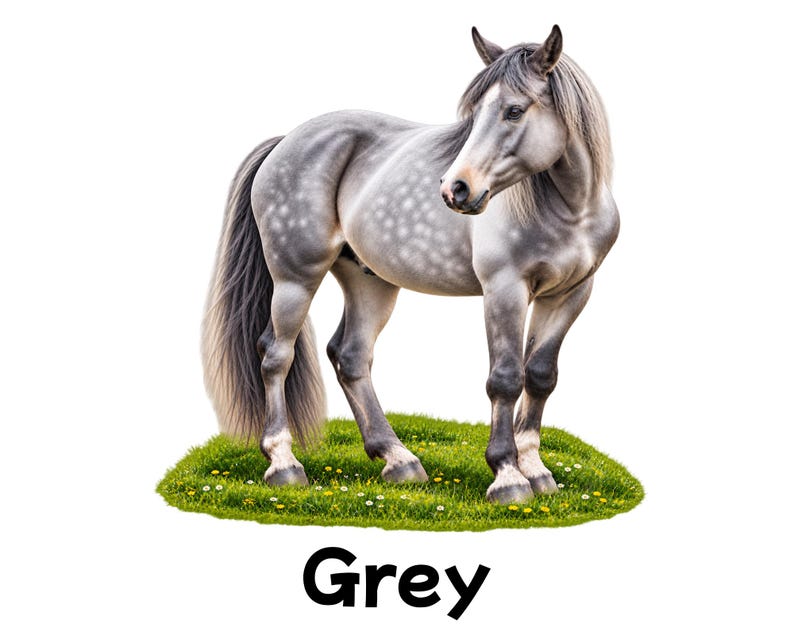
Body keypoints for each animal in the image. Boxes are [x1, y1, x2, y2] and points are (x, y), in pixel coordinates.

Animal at [201, 25, 619, 503]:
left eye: (514, 110)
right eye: (474, 112)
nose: (456, 188)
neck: (571, 210)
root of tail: (286, 140)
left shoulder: (570, 294)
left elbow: (540, 376)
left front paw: (536, 469)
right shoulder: (505, 290)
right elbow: (506, 378)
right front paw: (508, 476)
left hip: (370, 281)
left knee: (351, 356)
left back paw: (397, 459)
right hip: (294, 280)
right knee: (275, 356)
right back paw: (284, 463)